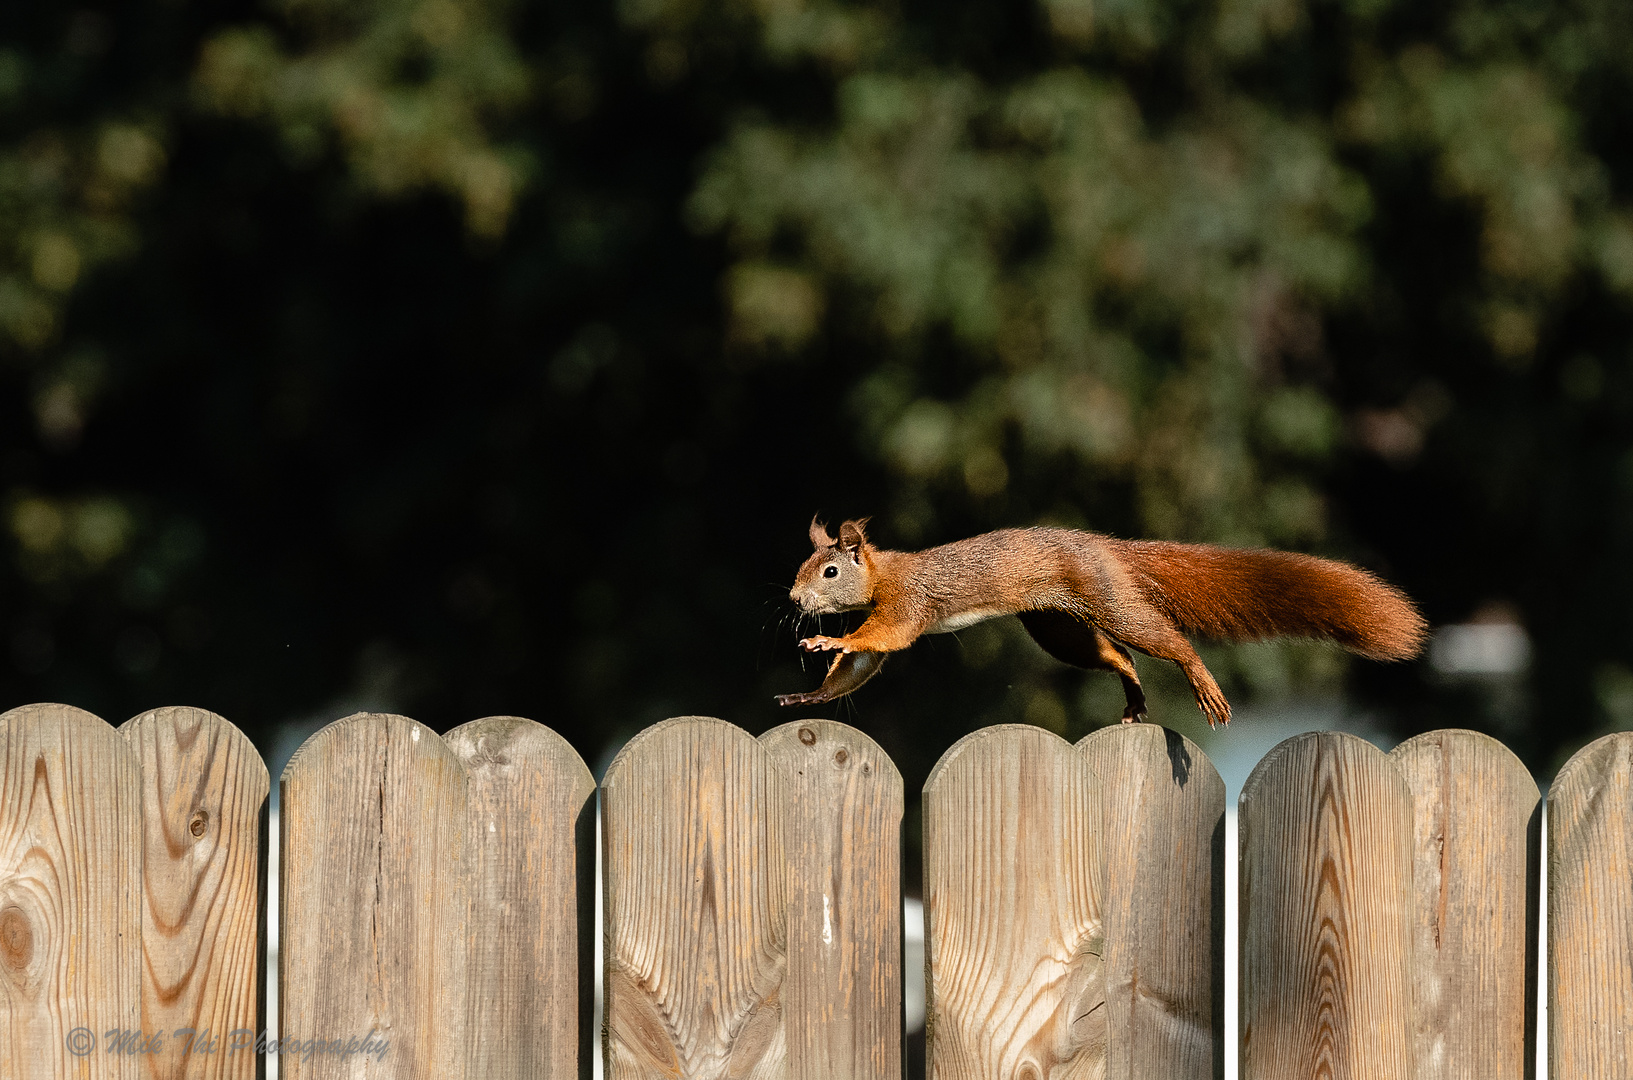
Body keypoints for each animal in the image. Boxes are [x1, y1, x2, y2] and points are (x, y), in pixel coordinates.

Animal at [770, 516, 1423, 725]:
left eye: (829, 571)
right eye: (806, 565)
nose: (795, 599)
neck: (882, 575)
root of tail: (1105, 548)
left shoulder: (908, 603)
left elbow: (882, 637)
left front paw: (823, 637)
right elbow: (860, 662)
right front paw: (807, 695)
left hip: (1107, 602)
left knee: (1161, 640)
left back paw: (1201, 681)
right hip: (1060, 628)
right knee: (1118, 656)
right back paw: (1134, 698)